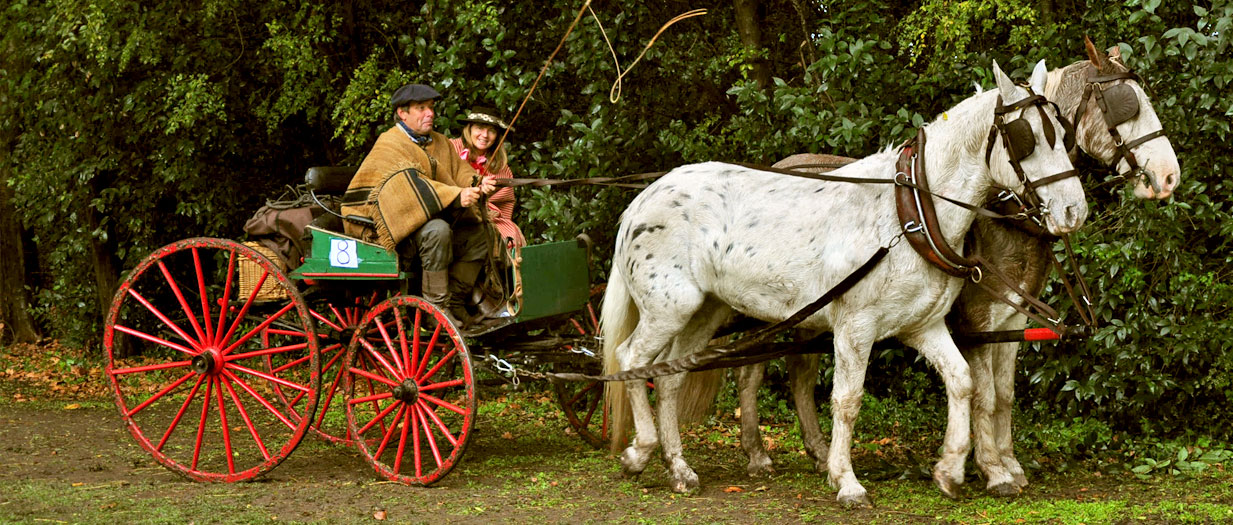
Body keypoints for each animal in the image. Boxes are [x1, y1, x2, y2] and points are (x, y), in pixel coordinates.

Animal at [601, 59, 1085, 507]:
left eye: (1062, 133)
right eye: (1027, 138)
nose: (1074, 211)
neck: (909, 213)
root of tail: (644, 197)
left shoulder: (922, 326)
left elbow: (963, 382)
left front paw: (950, 470)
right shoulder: (855, 327)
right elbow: (848, 401)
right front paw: (847, 482)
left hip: (706, 311)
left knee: (669, 377)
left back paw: (679, 468)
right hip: (670, 308)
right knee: (632, 359)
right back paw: (641, 452)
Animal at [729, 38, 1183, 495]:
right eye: (1124, 105)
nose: (1168, 177)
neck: (996, 210)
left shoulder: (1011, 319)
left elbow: (1004, 393)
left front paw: (1008, 464)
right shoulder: (977, 321)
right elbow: (984, 394)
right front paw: (993, 469)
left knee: (800, 374)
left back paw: (819, 453)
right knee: (750, 373)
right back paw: (757, 454)